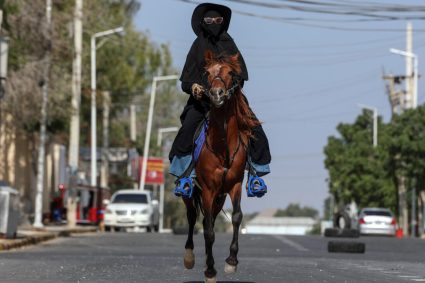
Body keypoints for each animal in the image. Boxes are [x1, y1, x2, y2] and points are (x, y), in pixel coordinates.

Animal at [181, 51, 258, 283]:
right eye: (206, 73)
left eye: (231, 72)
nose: (216, 94)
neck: (222, 145)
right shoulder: (207, 188)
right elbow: (207, 230)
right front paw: (210, 271)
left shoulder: (234, 185)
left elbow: (236, 217)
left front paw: (231, 262)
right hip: (192, 192)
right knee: (193, 217)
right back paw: (190, 257)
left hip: (219, 197)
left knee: (212, 218)